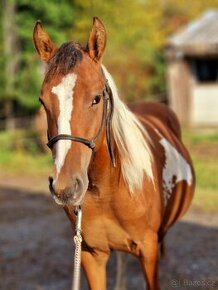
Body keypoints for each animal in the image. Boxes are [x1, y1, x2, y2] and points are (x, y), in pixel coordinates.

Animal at [33, 17, 195, 290]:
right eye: (43, 102)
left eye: (96, 98)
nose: (66, 187)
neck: (108, 191)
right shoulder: (90, 255)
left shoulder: (148, 252)